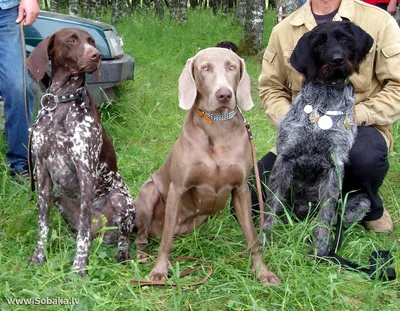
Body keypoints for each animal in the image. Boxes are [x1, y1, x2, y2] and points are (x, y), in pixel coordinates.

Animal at [26, 28, 137, 278]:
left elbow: (83, 234)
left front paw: (78, 268)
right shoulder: (42, 171)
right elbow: (43, 224)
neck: (62, 100)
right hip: (58, 197)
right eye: (71, 40)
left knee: (118, 238)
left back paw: (122, 253)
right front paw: (39, 256)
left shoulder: (85, 171)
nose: (96, 55)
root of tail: (102, 231)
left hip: (121, 201)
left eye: (92, 41)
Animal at [266, 21, 376, 256]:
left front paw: (320, 250)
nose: (337, 60)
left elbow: (326, 216)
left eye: (344, 39)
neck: (325, 98)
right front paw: (263, 240)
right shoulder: (285, 158)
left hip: (361, 201)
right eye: (319, 43)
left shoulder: (334, 166)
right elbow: (270, 206)